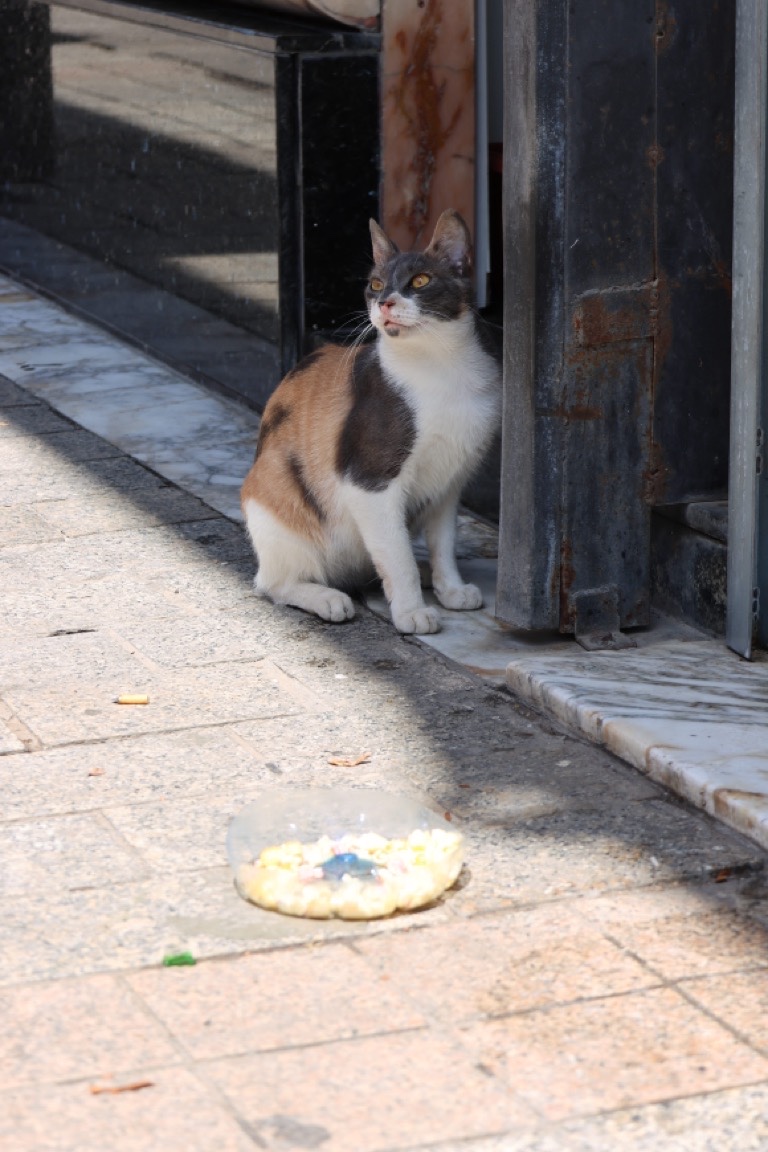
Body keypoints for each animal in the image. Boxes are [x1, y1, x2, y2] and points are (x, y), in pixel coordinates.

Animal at [241, 211, 504, 635]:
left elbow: (443, 542)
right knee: (273, 582)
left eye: (420, 281)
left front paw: (450, 587)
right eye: (376, 284)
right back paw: (327, 597)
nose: (384, 302)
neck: (441, 367)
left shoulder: (450, 481)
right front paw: (412, 612)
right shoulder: (369, 482)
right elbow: (397, 557)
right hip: (275, 486)